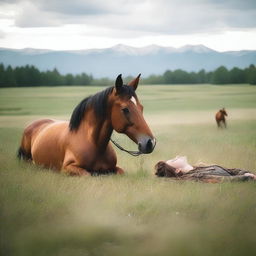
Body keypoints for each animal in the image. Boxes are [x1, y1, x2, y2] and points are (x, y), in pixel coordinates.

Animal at [17, 73, 156, 175]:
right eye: (125, 109)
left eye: (141, 107)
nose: (150, 142)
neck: (94, 143)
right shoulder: (67, 169)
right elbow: (87, 174)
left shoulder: (115, 168)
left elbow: (121, 172)